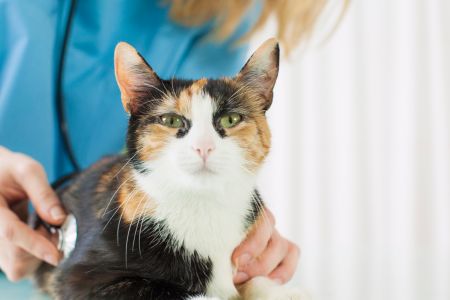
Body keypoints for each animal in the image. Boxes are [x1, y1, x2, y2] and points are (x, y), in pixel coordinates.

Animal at [33, 38, 304, 298]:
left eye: (231, 119)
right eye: (171, 120)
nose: (203, 147)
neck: (201, 206)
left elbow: (255, 280)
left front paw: (284, 291)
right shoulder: (79, 278)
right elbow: (169, 291)